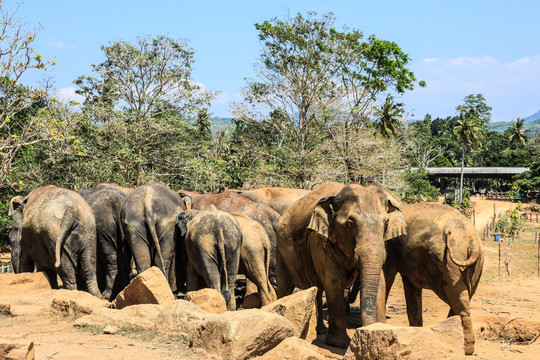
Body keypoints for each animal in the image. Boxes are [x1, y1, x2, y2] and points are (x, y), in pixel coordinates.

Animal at [276, 181, 408, 348]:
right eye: (350, 223)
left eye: (386, 224)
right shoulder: (318, 239)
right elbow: (333, 281)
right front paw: (338, 344)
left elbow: (380, 282)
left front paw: (380, 331)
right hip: (280, 250)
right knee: (284, 287)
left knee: (317, 289)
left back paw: (320, 330)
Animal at [384, 201, 486, 356]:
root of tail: (472, 239)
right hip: (474, 264)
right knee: (463, 298)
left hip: (447, 263)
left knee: (457, 297)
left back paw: (463, 346)